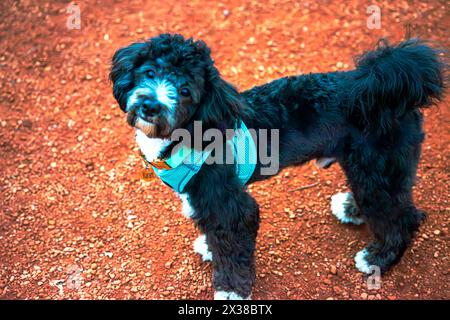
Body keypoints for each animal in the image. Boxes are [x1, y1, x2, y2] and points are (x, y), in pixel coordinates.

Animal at [109, 35, 442, 300]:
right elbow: (214, 235)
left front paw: (231, 290)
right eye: (149, 72)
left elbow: (233, 249)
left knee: (404, 218)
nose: (150, 106)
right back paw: (351, 208)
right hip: (369, 168)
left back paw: (378, 258)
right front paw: (209, 247)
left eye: (185, 91)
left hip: (376, 168)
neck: (189, 132)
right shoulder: (204, 202)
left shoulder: (231, 207)